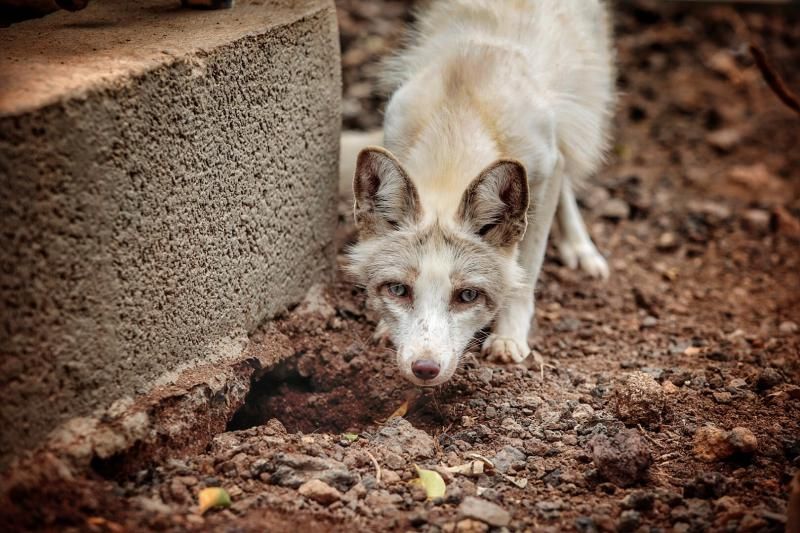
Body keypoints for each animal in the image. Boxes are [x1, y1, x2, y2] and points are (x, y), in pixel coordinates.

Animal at [344, 0, 612, 382]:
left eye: (467, 295)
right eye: (398, 290)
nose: (424, 369)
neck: (460, 106)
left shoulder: (548, 165)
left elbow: (525, 275)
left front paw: (508, 337)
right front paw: (386, 328)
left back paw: (580, 247)